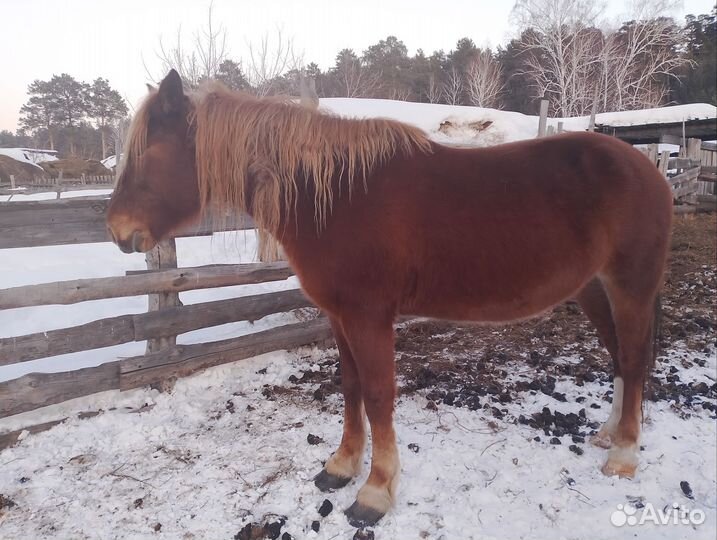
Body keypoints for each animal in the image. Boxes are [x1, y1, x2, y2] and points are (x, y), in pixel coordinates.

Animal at [106, 69, 673, 527]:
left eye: (147, 154)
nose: (117, 231)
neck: (334, 196)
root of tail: (646, 166)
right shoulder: (338, 317)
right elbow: (350, 386)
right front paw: (340, 466)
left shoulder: (369, 317)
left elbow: (378, 395)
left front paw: (375, 492)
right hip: (593, 288)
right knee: (619, 356)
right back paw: (609, 433)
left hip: (631, 286)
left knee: (634, 358)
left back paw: (624, 454)